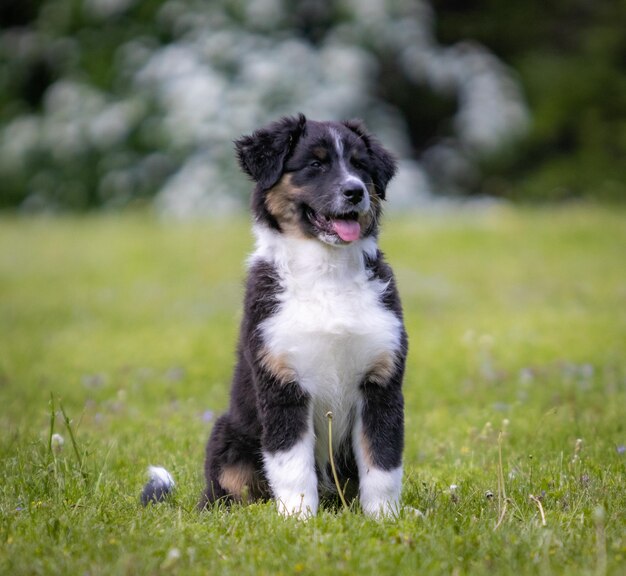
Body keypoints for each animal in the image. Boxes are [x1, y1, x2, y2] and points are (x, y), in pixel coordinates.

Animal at [146, 115, 410, 520]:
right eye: (315, 164)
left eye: (360, 165)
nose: (354, 191)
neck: (326, 272)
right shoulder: (282, 384)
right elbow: (292, 465)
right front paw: (298, 520)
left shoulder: (381, 383)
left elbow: (382, 462)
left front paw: (386, 519)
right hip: (227, 438)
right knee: (226, 494)